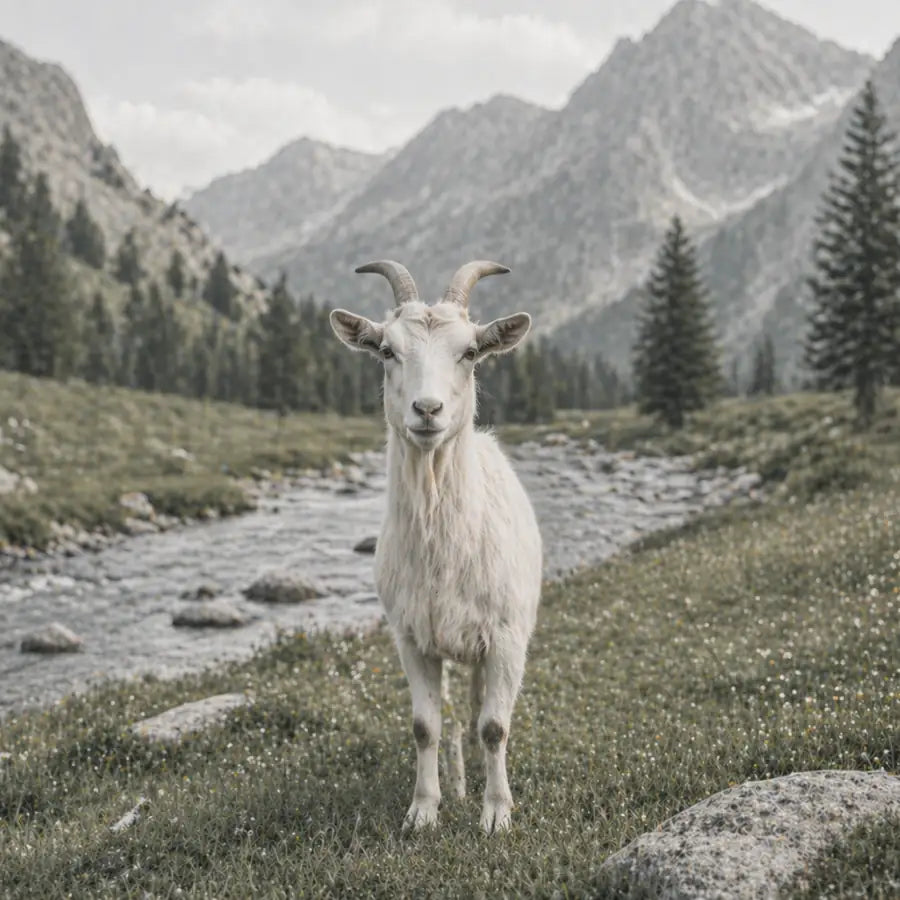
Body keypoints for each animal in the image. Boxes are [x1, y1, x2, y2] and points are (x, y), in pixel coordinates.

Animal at [330, 260, 542, 833]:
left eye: (469, 352)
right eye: (386, 350)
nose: (428, 409)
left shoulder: (506, 638)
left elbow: (494, 727)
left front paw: (497, 815)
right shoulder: (412, 639)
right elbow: (424, 726)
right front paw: (424, 810)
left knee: (474, 714)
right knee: (451, 721)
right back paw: (459, 784)